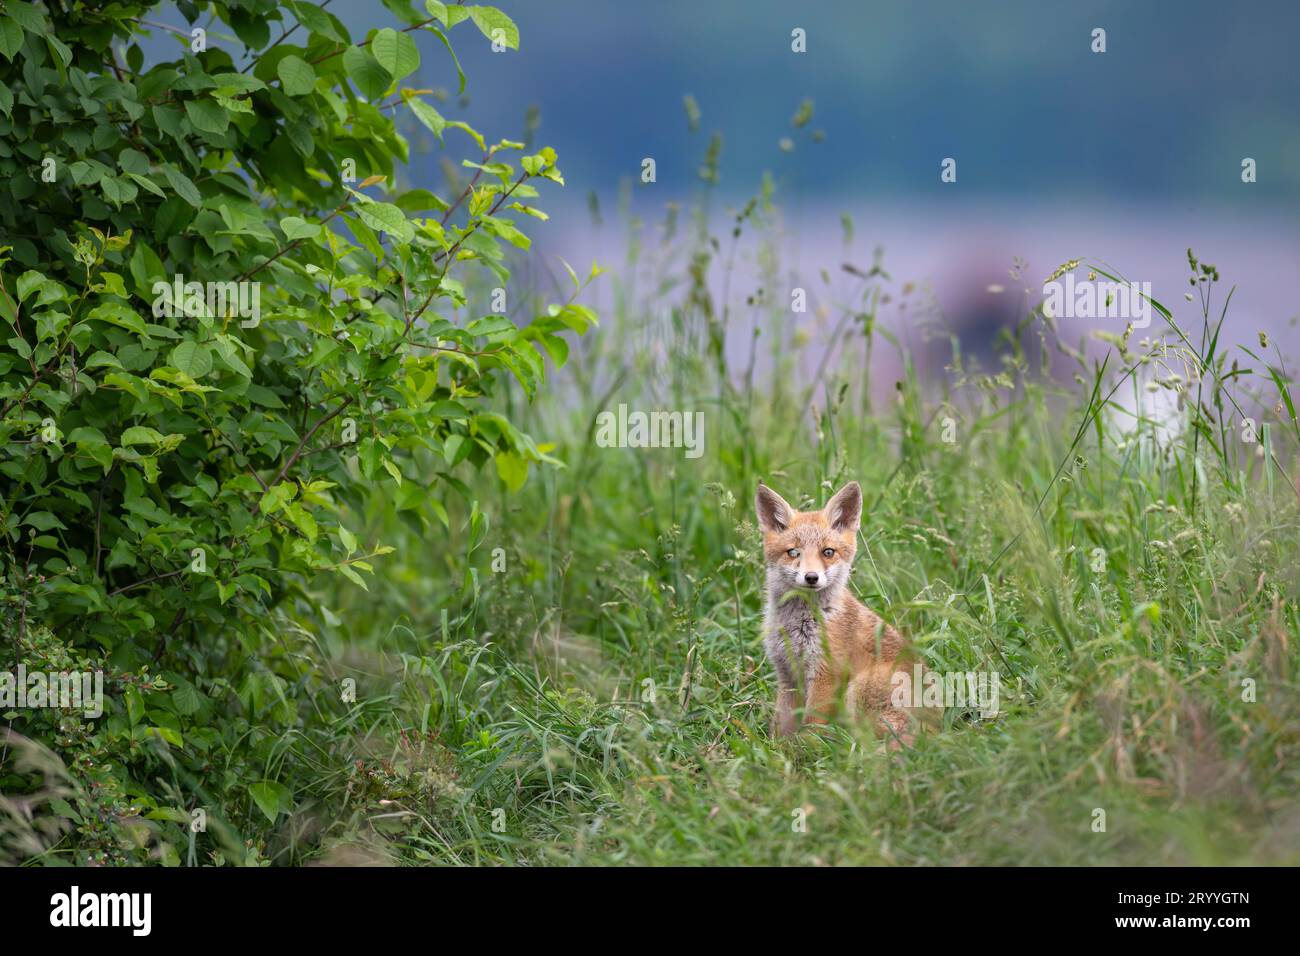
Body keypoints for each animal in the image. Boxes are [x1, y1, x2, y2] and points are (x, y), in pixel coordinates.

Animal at [759, 481, 930, 743]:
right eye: (793, 552)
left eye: (828, 552)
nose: (811, 577)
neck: (799, 624)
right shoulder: (787, 674)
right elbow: (781, 726)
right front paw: (775, 749)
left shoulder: (826, 674)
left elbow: (811, 727)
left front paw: (802, 750)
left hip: (857, 690)